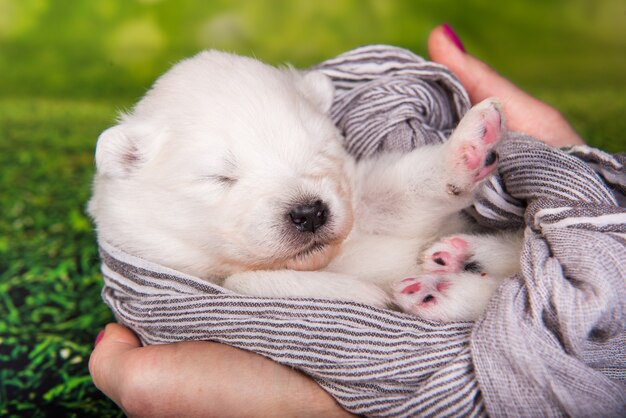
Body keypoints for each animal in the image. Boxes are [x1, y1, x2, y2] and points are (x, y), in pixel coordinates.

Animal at [86, 50, 516, 322]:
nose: (309, 212)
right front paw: (365, 294)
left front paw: (468, 146)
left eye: (318, 150)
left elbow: (396, 196)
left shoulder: (360, 204)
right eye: (221, 177)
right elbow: (245, 281)